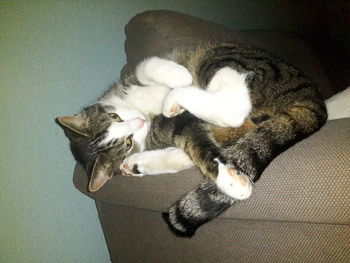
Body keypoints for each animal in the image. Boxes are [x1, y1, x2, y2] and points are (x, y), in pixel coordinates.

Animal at [57, 42, 328, 237]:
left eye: (115, 116)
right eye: (126, 144)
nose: (139, 123)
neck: (144, 112)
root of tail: (312, 96)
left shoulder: (135, 81)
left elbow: (147, 67)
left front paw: (179, 76)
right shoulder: (173, 128)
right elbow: (198, 148)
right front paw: (231, 182)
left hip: (221, 58)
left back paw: (179, 91)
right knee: (233, 114)